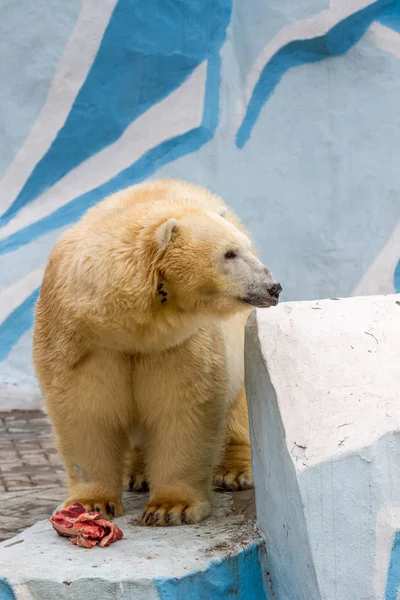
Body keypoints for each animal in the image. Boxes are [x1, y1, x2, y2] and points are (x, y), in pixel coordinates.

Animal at [33, 178, 282, 524]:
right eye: (229, 253)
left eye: (242, 247)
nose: (273, 287)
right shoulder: (80, 342)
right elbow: (86, 412)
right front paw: (91, 503)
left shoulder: (178, 343)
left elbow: (181, 410)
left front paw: (170, 507)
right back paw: (137, 474)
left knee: (239, 407)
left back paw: (233, 471)